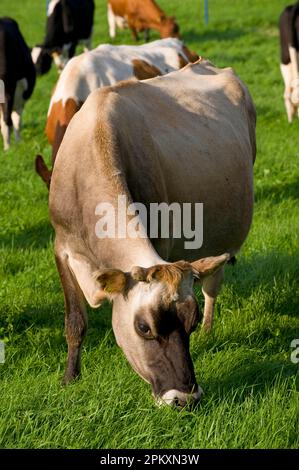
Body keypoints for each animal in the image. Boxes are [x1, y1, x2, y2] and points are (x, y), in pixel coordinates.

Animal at [49, 59, 258, 408]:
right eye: (144, 327)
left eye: (190, 321)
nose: (185, 397)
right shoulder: (62, 247)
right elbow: (75, 322)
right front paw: (69, 379)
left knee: (212, 285)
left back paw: (210, 330)